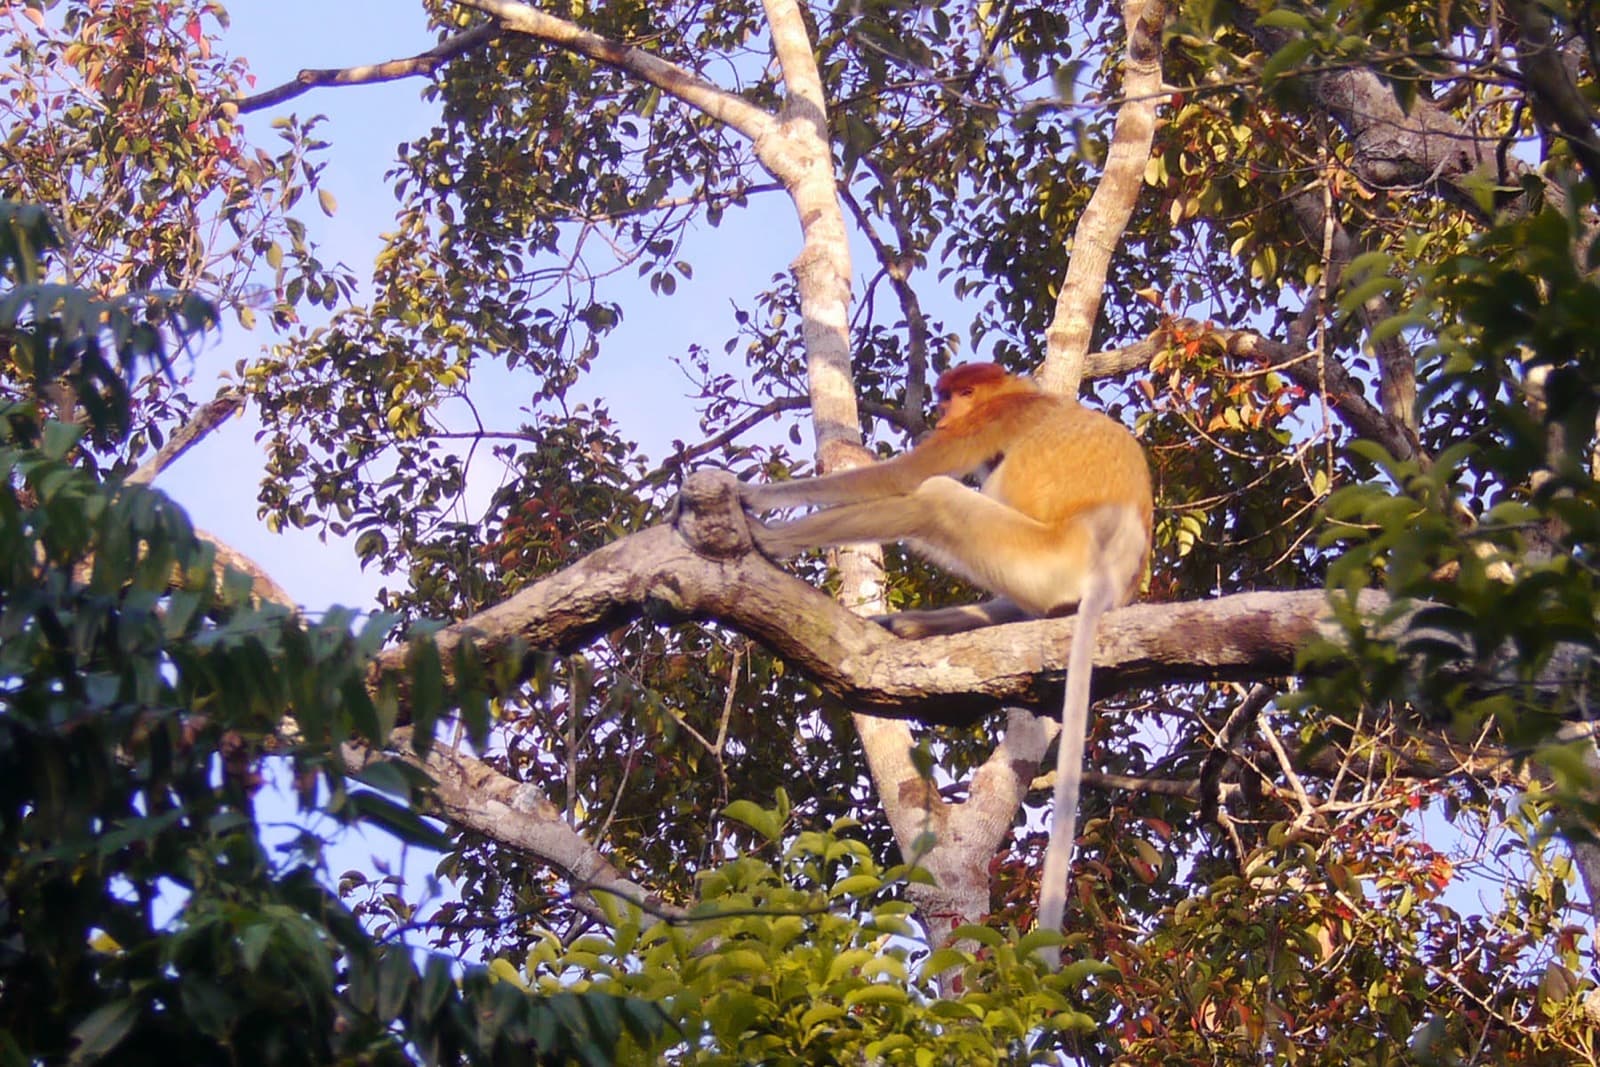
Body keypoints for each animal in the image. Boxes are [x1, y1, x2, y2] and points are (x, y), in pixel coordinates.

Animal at [742, 363, 1152, 960]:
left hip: (1043, 560)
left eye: (961, 395)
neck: (1023, 392)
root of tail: (1110, 578)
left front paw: (749, 505)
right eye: (942, 397)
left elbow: (906, 475)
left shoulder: (992, 420)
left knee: (935, 495)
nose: (941, 413)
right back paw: (912, 627)